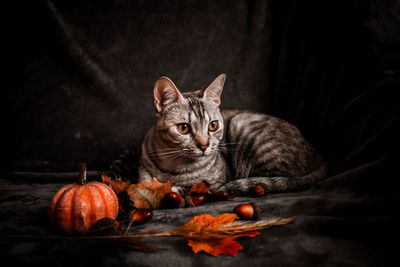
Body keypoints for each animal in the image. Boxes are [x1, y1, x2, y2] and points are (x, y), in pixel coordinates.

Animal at [139, 74, 326, 196]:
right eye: (184, 128)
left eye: (213, 125)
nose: (204, 145)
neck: (173, 166)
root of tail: (317, 153)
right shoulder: (143, 167)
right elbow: (145, 180)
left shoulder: (214, 182)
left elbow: (191, 187)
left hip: (243, 124)